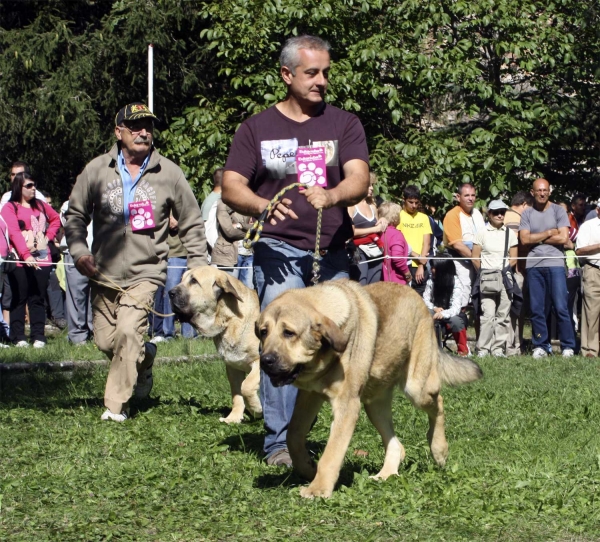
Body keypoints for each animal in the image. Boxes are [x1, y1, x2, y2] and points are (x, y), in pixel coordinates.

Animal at [170, 268, 262, 424]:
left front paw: (256, 409)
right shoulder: (233, 367)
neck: (229, 320)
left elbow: (247, 386)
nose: (170, 293)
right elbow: (237, 393)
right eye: (181, 279)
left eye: (194, 281)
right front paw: (233, 417)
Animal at [258, 280, 482, 502]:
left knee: (439, 403)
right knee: (396, 445)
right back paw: (385, 474)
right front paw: (307, 468)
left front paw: (318, 489)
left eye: (289, 333)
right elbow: (293, 434)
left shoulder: (347, 406)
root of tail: (417, 297)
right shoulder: (309, 396)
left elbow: (331, 453)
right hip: (374, 404)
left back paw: (439, 450)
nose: (265, 361)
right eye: (262, 332)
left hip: (417, 388)